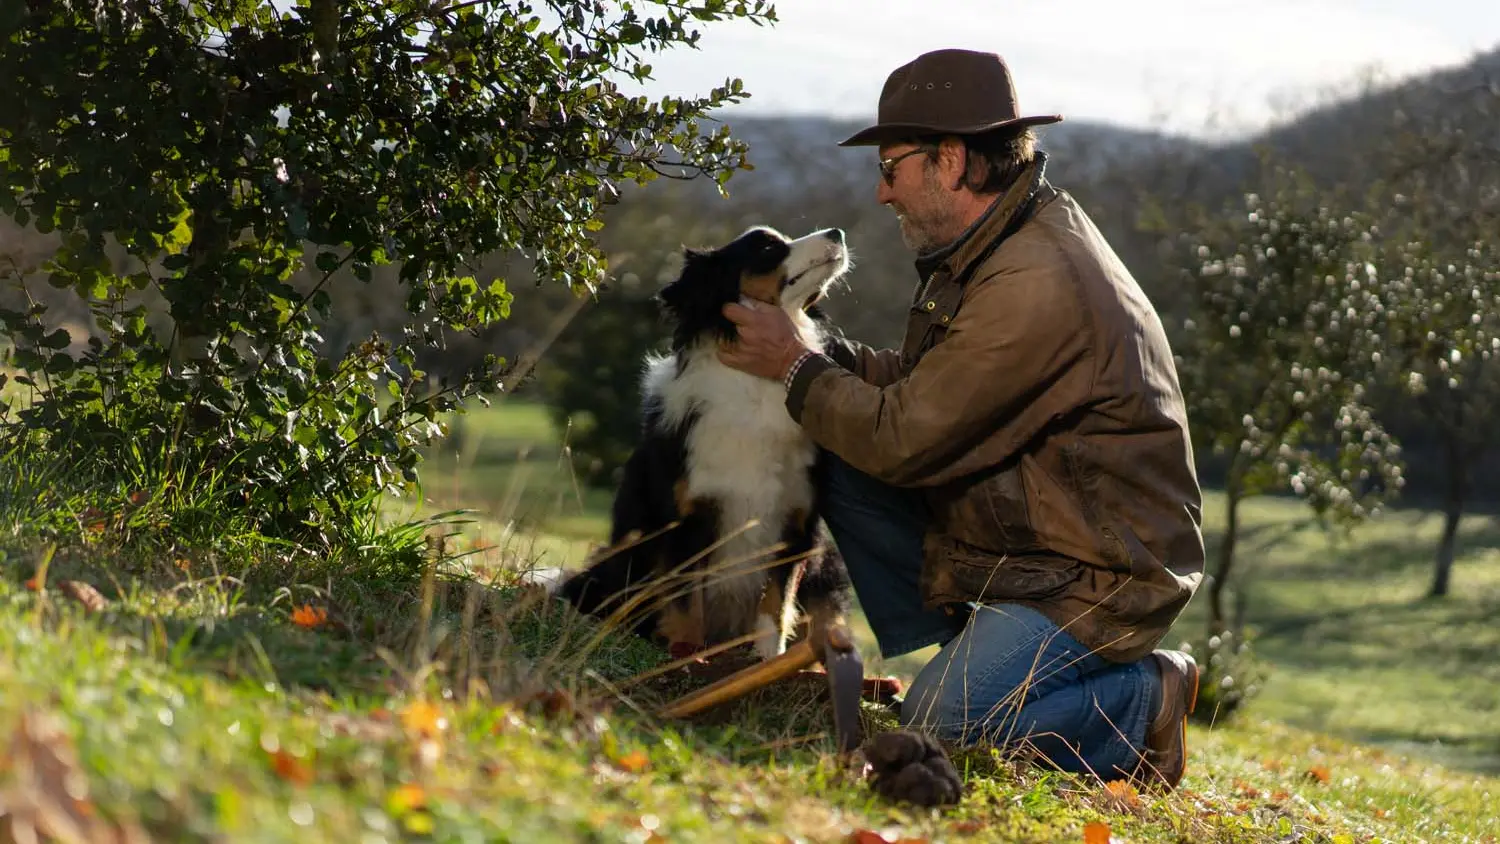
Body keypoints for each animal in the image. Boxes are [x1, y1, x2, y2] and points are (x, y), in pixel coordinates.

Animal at [555, 227, 858, 662]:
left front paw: (768, 660)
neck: (753, 385)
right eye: (767, 246)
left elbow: (776, 603)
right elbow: (685, 601)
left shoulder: (797, 521)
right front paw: (686, 653)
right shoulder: (686, 515)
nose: (837, 232)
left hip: (827, 566)